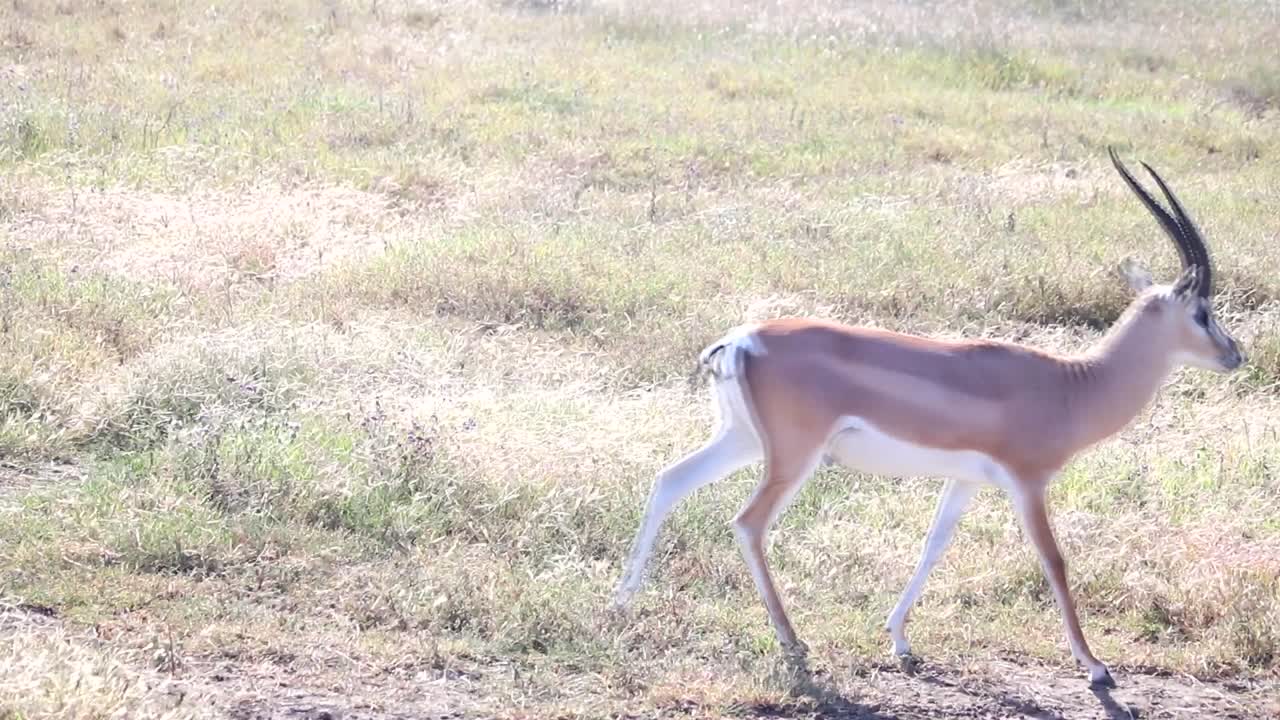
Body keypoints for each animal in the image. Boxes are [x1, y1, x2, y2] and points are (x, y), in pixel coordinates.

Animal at [611, 148, 1244, 687]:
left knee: (669, 480)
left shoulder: (965, 481)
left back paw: (622, 601)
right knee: (747, 523)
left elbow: (932, 546)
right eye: (1203, 310)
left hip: (742, 440)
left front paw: (899, 641)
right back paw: (793, 642)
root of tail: (741, 339)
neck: (1071, 387)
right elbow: (1055, 561)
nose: (1235, 354)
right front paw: (1096, 667)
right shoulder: (1028, 482)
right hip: (794, 456)